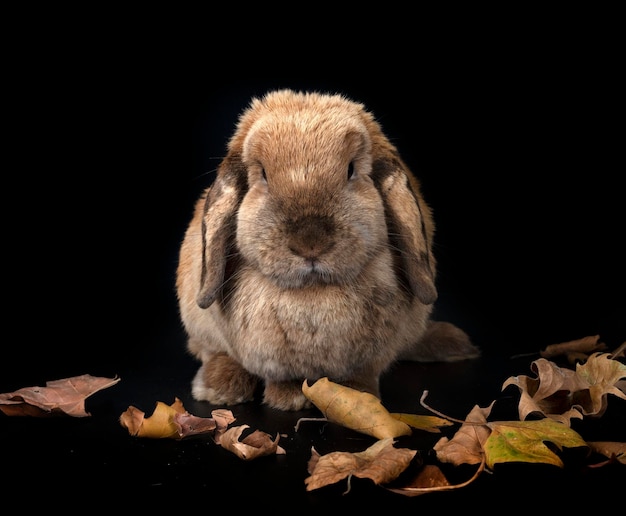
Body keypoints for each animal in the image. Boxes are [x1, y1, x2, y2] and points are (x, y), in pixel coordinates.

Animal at [176, 88, 478, 412]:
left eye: (351, 170)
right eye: (263, 174)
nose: (310, 243)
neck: (312, 292)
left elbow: (361, 375)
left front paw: (356, 397)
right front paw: (290, 398)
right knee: (213, 351)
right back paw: (219, 386)